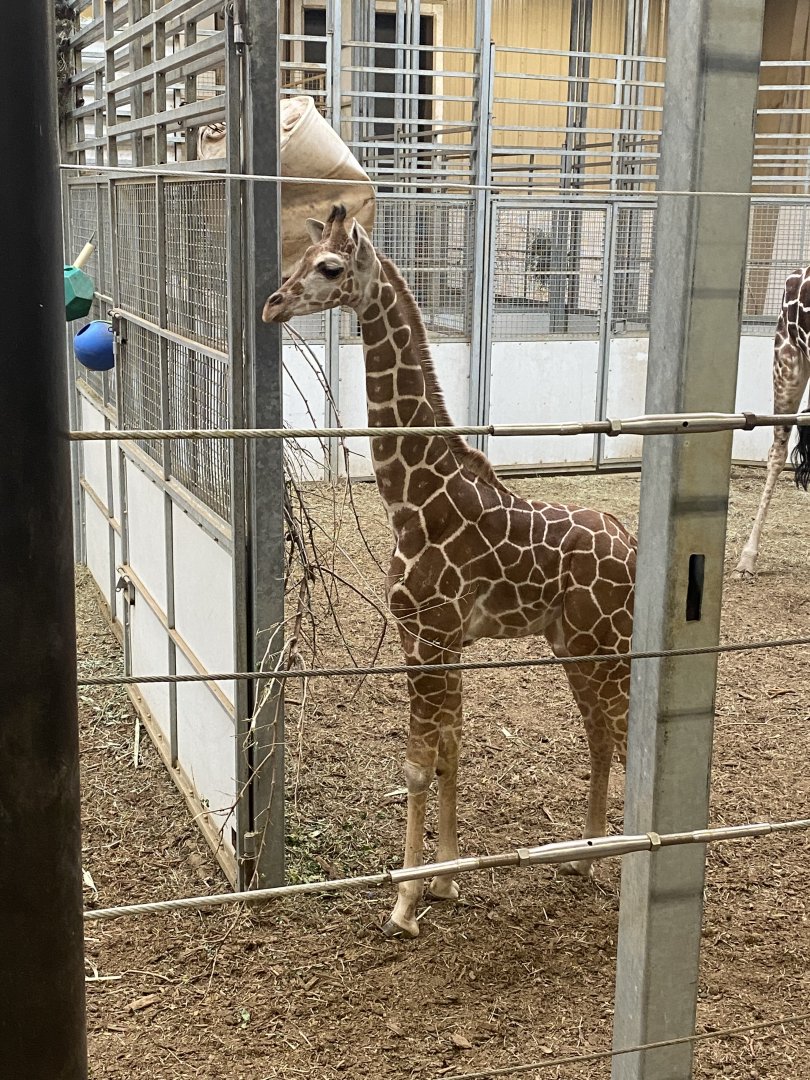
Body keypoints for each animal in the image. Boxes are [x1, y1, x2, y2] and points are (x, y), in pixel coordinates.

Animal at [263, 206, 636, 939]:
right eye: (296, 256)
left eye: (329, 266)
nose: (272, 305)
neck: (412, 502)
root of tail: (634, 544)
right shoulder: (439, 639)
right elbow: (449, 750)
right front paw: (445, 881)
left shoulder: (429, 634)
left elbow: (415, 764)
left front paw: (404, 904)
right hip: (574, 646)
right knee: (601, 736)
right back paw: (584, 857)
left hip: (608, 645)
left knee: (631, 737)